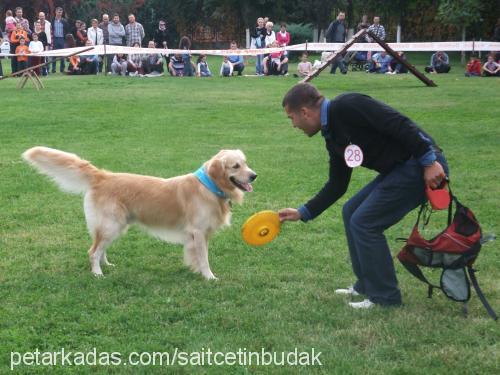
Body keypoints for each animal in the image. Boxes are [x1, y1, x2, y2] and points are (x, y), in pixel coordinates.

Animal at [21, 147, 256, 280]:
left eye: (246, 163)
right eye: (235, 166)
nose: (254, 175)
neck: (210, 186)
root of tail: (103, 176)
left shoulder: (200, 235)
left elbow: (198, 257)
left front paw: (197, 271)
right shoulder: (197, 232)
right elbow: (204, 258)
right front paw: (209, 277)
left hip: (116, 226)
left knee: (101, 248)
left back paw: (107, 265)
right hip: (111, 224)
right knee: (93, 251)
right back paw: (98, 273)